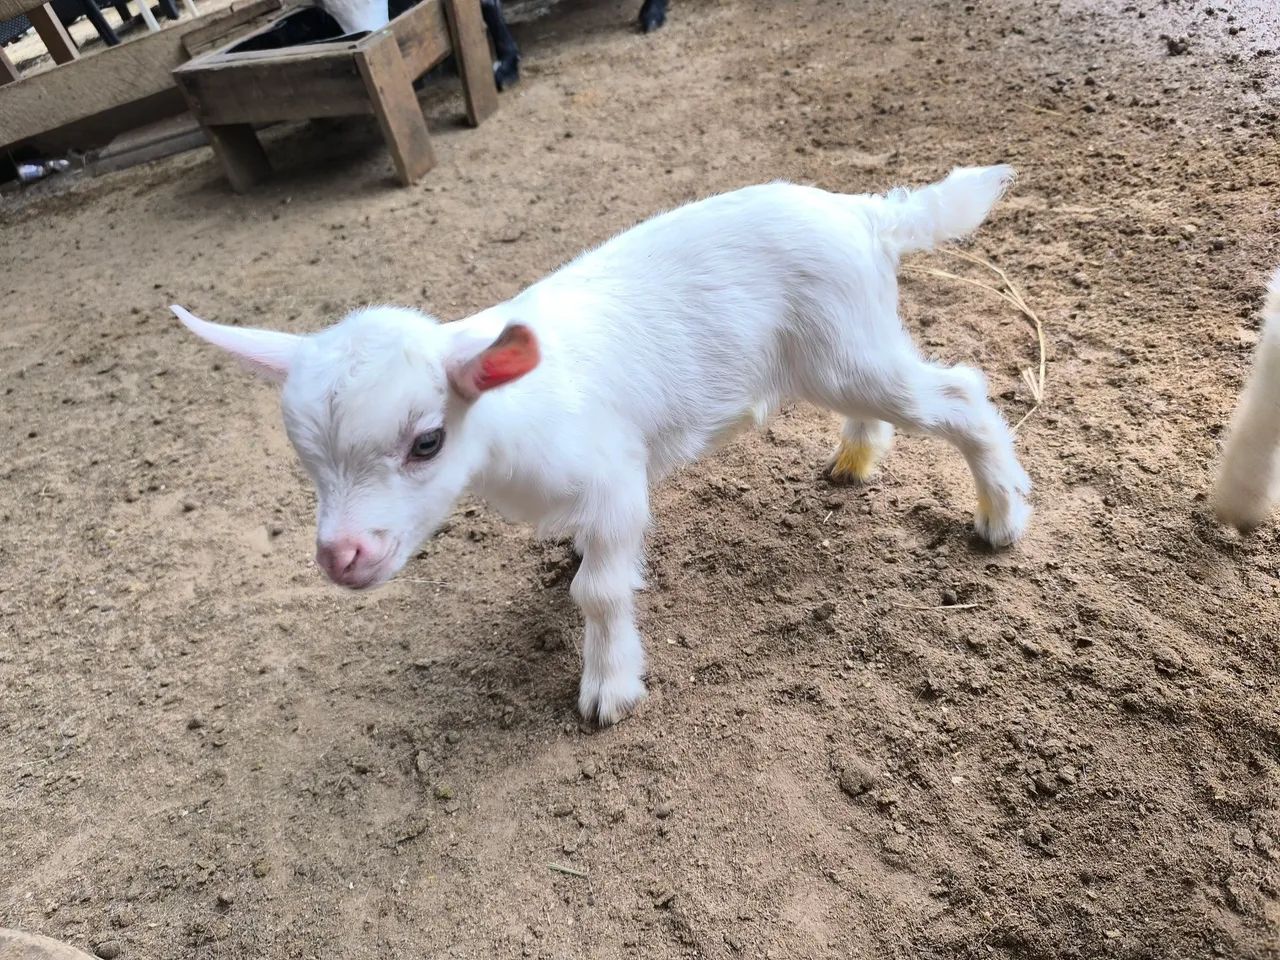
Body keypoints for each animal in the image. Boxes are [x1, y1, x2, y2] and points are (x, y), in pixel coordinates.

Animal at [173, 165, 1031, 726]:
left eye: (426, 442)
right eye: (305, 461)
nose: (341, 557)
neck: (511, 420)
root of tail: (864, 216)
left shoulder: (617, 482)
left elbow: (601, 589)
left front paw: (608, 688)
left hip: (850, 351)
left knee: (960, 394)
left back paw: (1002, 517)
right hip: (843, 352)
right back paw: (855, 461)